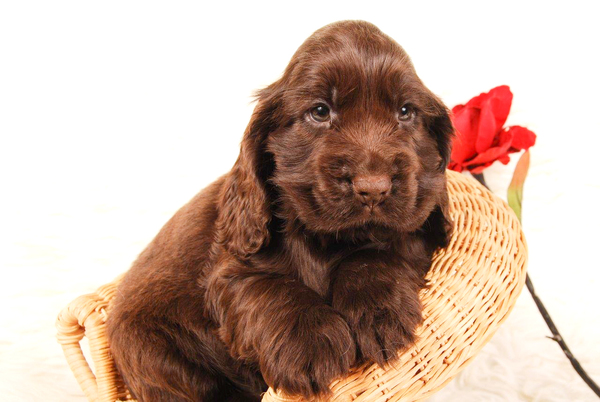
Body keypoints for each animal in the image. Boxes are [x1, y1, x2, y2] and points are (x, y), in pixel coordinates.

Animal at [109, 20, 454, 400]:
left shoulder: (419, 222)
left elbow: (378, 251)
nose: (373, 188)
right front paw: (310, 343)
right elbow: (271, 289)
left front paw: (378, 311)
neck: (326, 241)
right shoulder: (230, 267)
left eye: (406, 112)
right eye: (319, 111)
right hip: (151, 353)